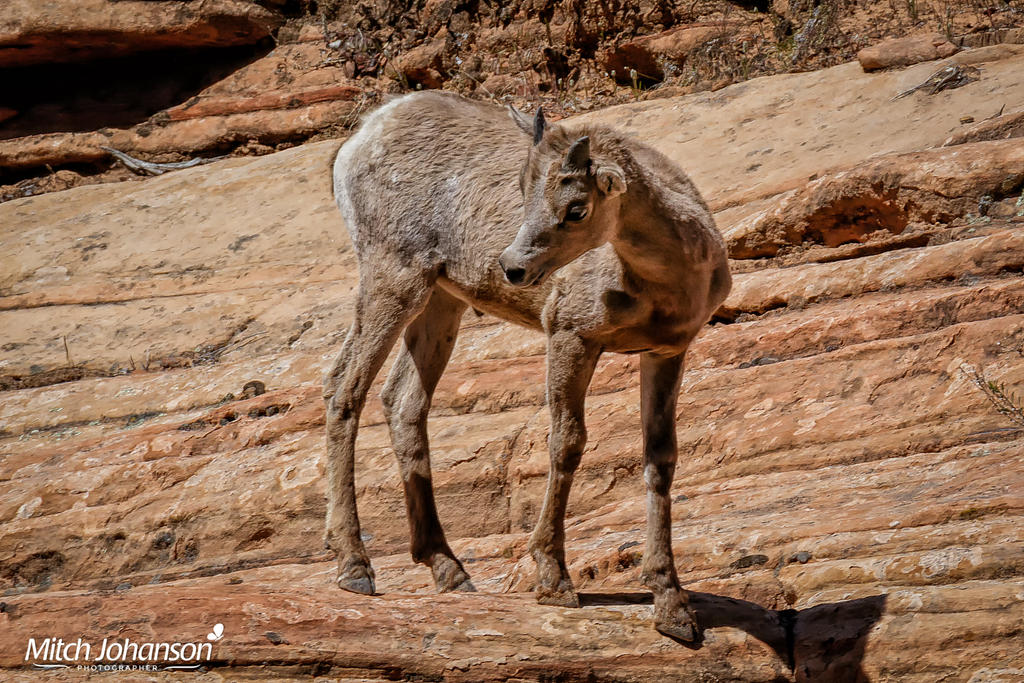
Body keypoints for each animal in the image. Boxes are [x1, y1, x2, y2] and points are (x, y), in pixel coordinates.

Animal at [323, 89, 733, 643]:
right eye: (522, 189)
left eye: (576, 209)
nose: (512, 267)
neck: (660, 285)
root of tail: (361, 137)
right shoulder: (570, 336)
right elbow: (567, 444)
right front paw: (554, 582)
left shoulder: (666, 353)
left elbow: (660, 460)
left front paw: (674, 610)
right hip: (394, 279)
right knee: (345, 387)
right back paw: (355, 568)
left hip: (440, 301)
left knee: (403, 403)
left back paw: (449, 570)